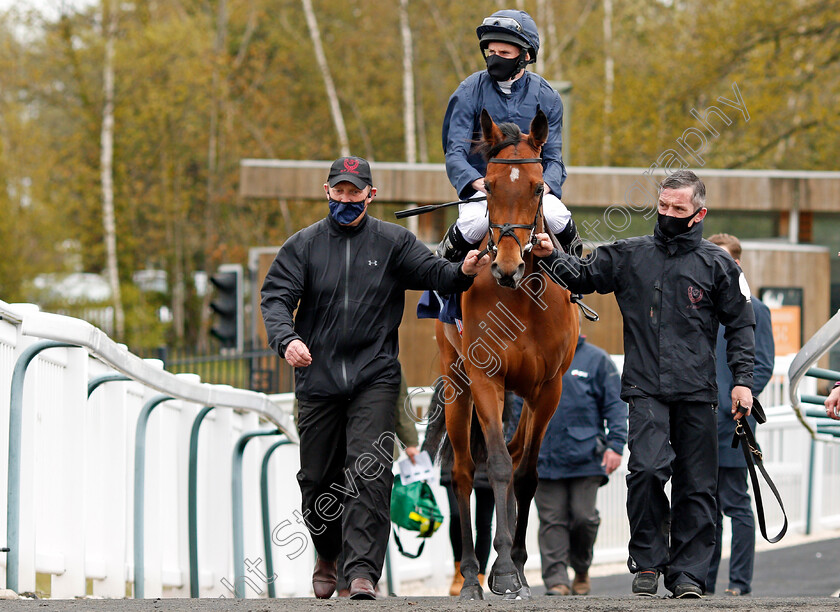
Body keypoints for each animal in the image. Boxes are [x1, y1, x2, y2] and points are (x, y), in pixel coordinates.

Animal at [440, 109, 576, 596]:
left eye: (538, 187)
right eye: (491, 186)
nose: (506, 266)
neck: (521, 299)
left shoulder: (548, 387)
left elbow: (527, 472)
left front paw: (515, 563)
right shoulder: (486, 379)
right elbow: (497, 466)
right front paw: (498, 570)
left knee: (516, 456)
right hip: (456, 384)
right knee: (463, 471)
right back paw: (470, 578)